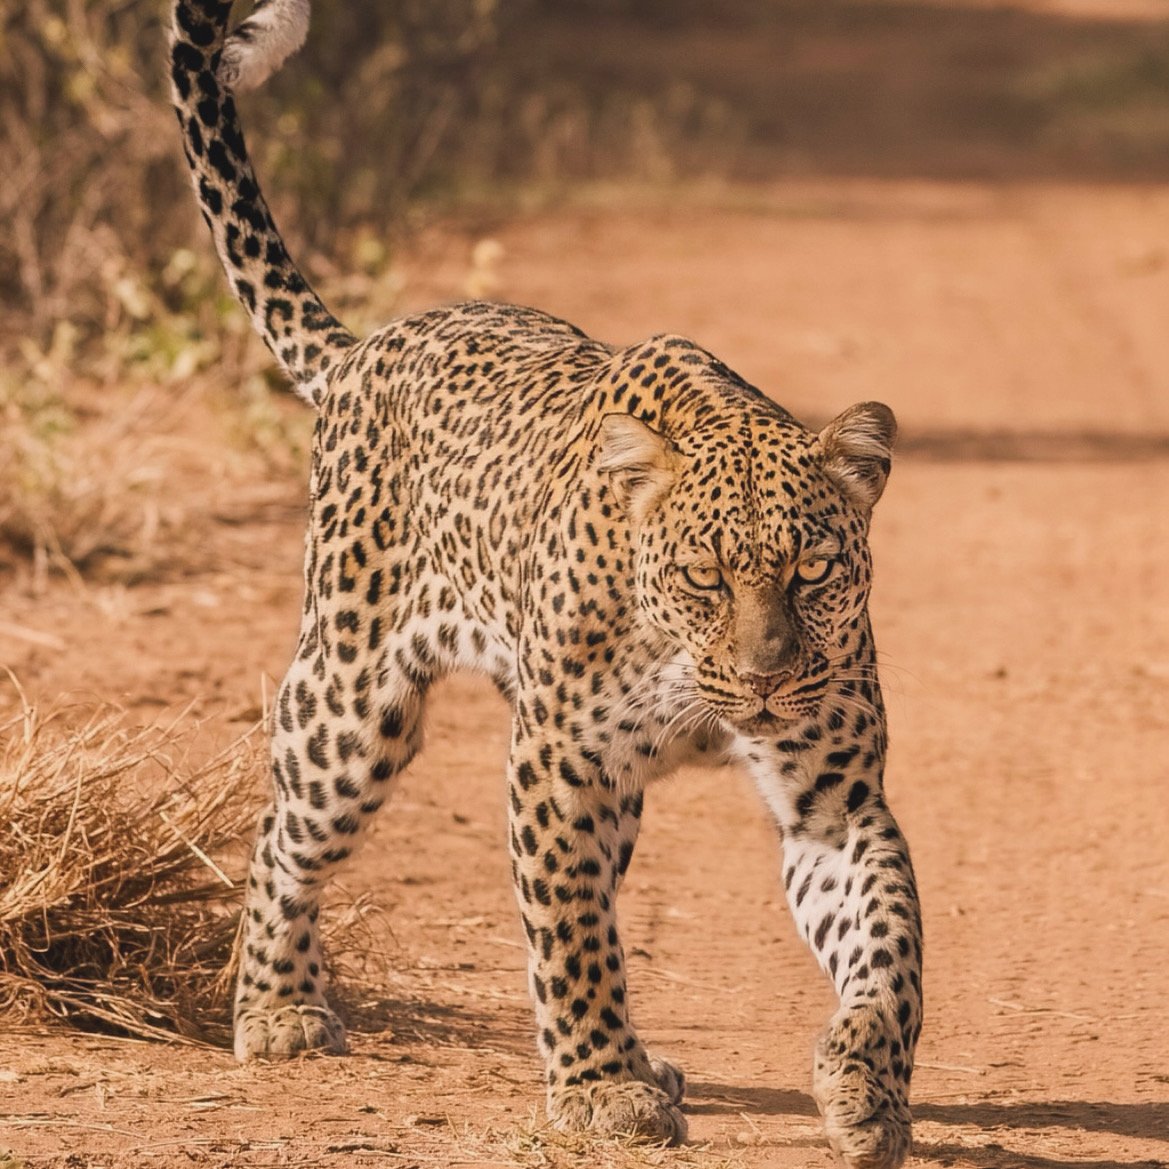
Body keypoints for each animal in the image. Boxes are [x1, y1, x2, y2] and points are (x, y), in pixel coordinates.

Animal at [169, 2, 923, 1165]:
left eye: (812, 571)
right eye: (704, 574)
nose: (762, 679)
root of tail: (369, 345)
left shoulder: (831, 798)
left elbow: (886, 948)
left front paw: (863, 1088)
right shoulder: (558, 762)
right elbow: (569, 937)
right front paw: (602, 1089)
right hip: (350, 706)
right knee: (282, 835)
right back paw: (275, 1006)